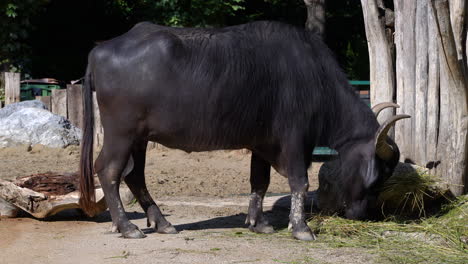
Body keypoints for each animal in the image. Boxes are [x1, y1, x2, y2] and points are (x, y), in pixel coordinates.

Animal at [78, 21, 408, 241]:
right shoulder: (295, 141)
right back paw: (127, 227)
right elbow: (299, 182)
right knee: (107, 170)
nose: (360, 215)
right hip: (121, 133)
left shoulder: (262, 143)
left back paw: (161, 223)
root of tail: (99, 51)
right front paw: (301, 228)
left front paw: (258, 222)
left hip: (140, 138)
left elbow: (259, 182)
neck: (316, 80)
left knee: (134, 176)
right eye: (378, 178)